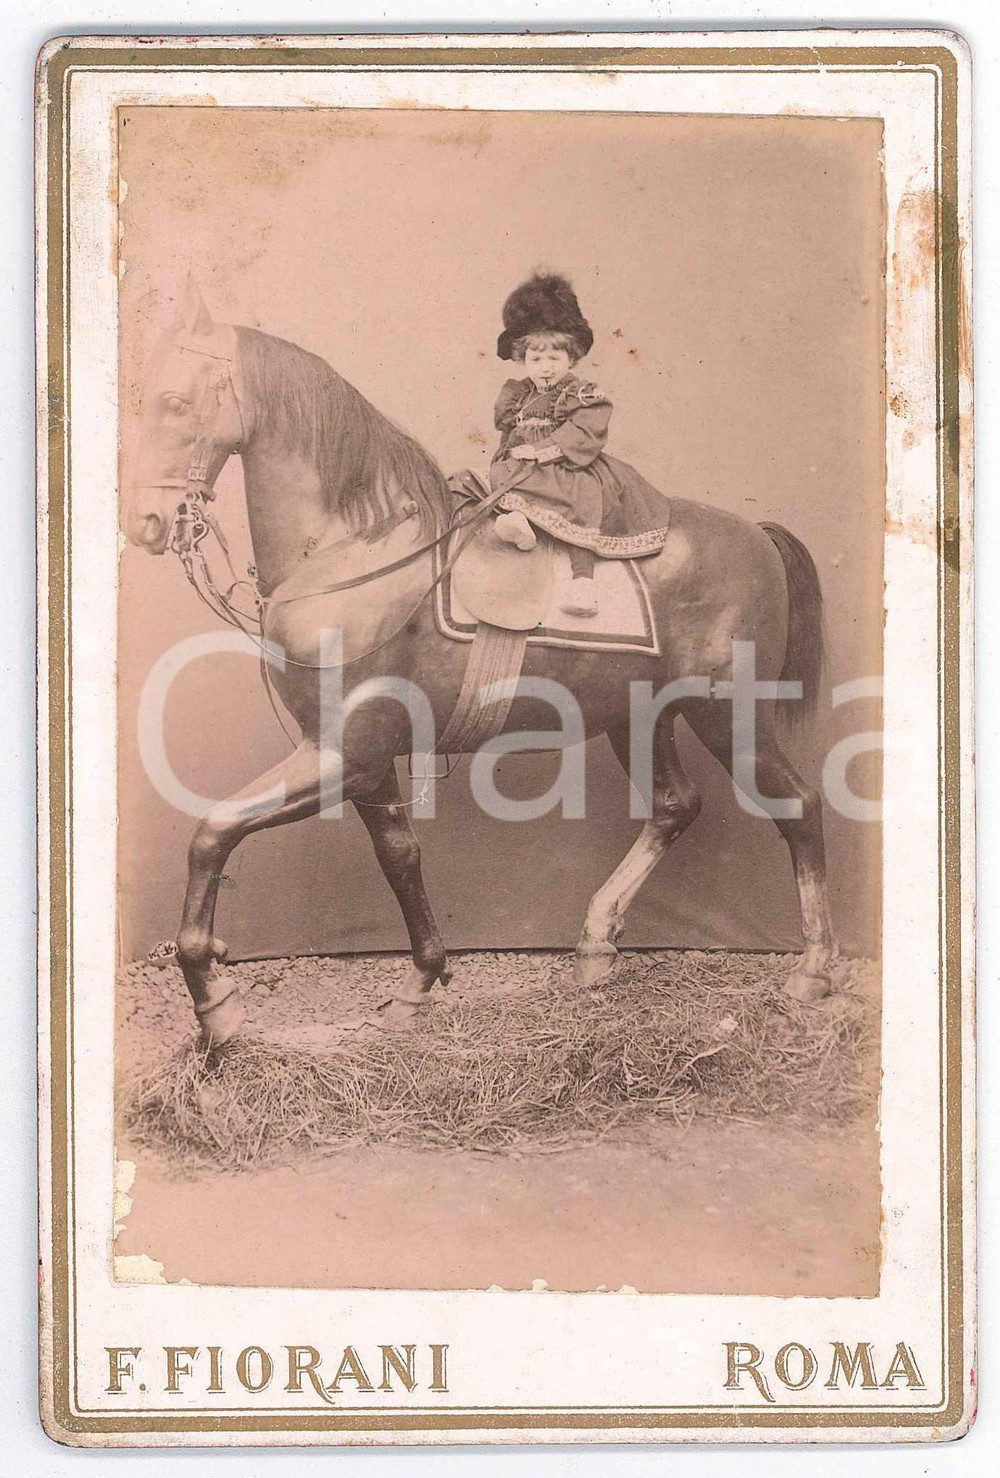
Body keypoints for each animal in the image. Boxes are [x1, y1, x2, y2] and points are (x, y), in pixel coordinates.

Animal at [125, 280, 836, 1046]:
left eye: (174, 402)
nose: (143, 524)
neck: (355, 553)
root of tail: (756, 535)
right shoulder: (368, 762)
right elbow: (400, 856)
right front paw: (421, 982)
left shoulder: (340, 754)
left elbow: (212, 833)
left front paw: (216, 1003)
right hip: (640, 717)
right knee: (676, 805)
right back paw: (595, 947)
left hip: (728, 714)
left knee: (799, 806)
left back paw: (811, 974)